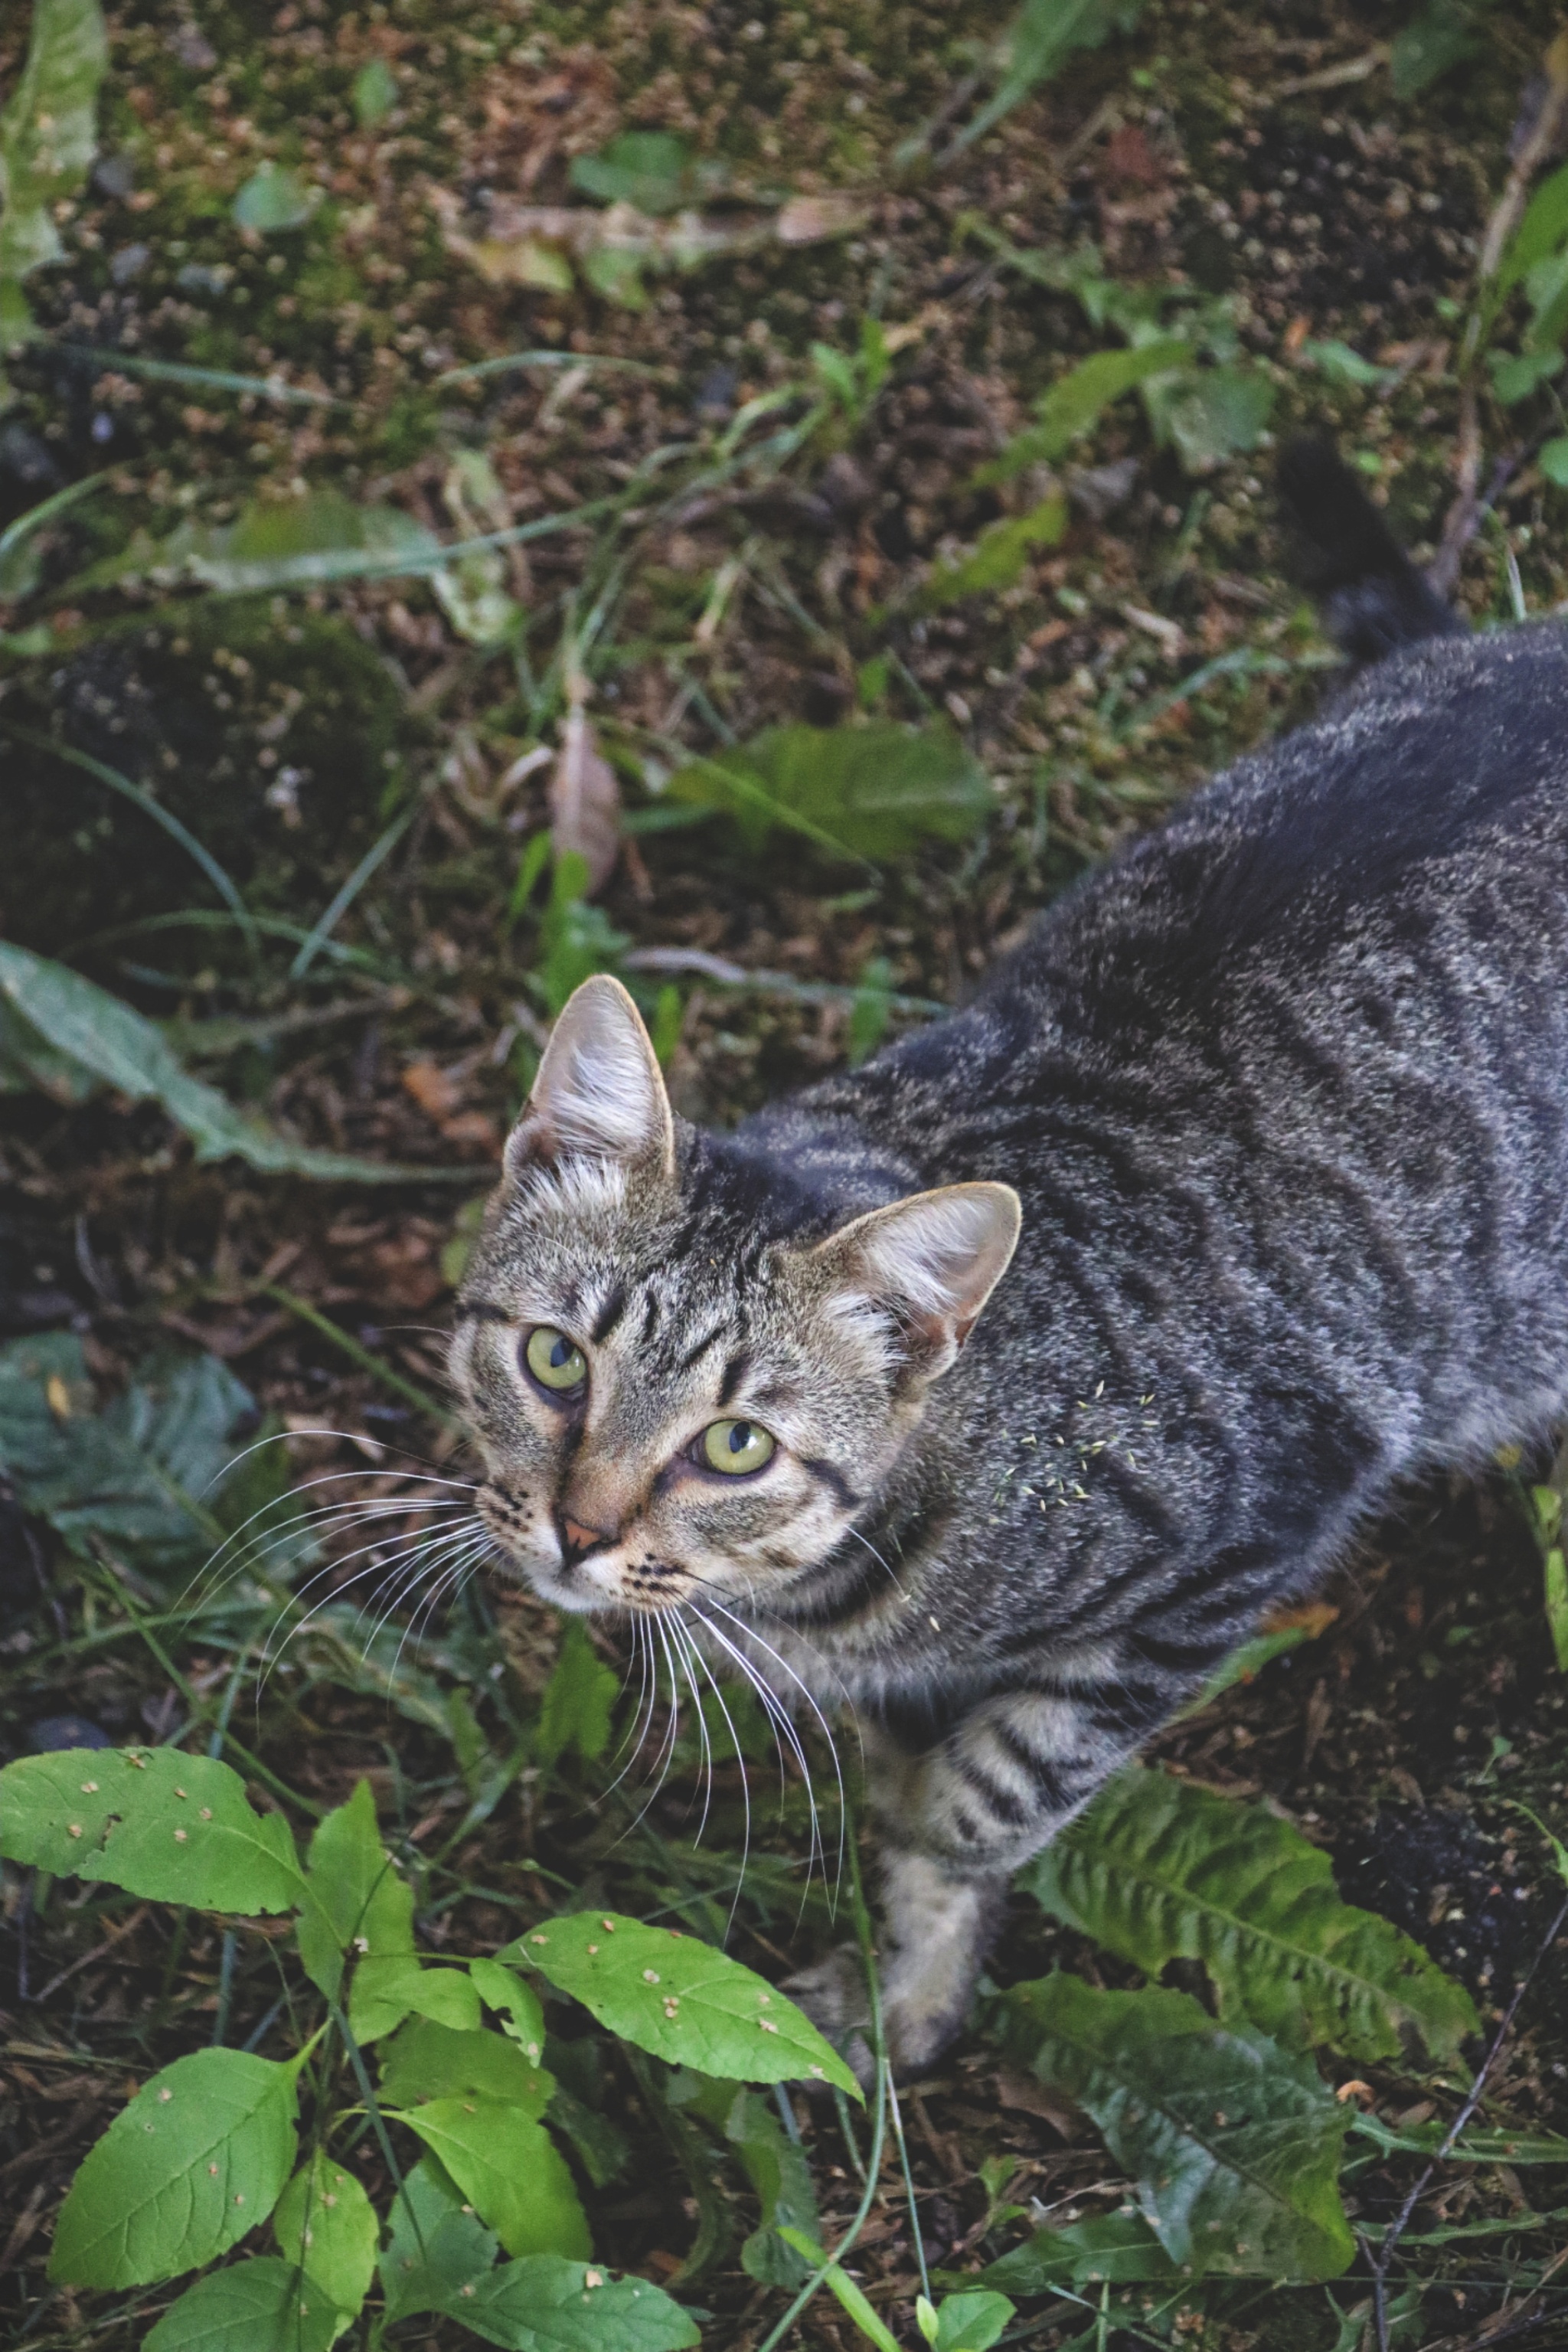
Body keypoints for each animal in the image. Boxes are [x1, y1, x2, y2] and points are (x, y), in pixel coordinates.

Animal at [446, 449, 1568, 2069]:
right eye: (551, 1359)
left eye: (733, 1445)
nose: (577, 1534)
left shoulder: (1250, 1533)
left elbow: (987, 1799)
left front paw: (910, 1978)